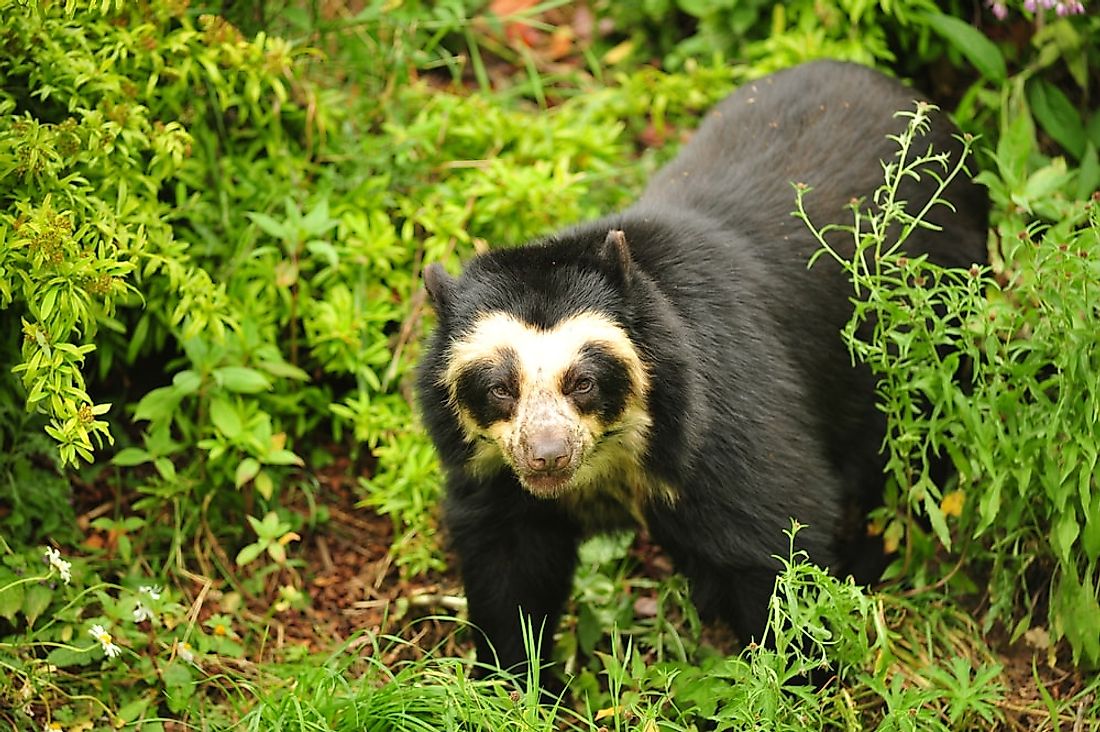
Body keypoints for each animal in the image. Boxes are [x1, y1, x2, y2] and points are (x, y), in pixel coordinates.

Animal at [415, 59, 994, 678]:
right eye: (501, 388)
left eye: (584, 382)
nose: (547, 455)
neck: (616, 456)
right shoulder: (494, 475)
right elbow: (509, 569)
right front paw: (516, 679)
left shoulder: (722, 422)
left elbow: (777, 540)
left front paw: (797, 675)